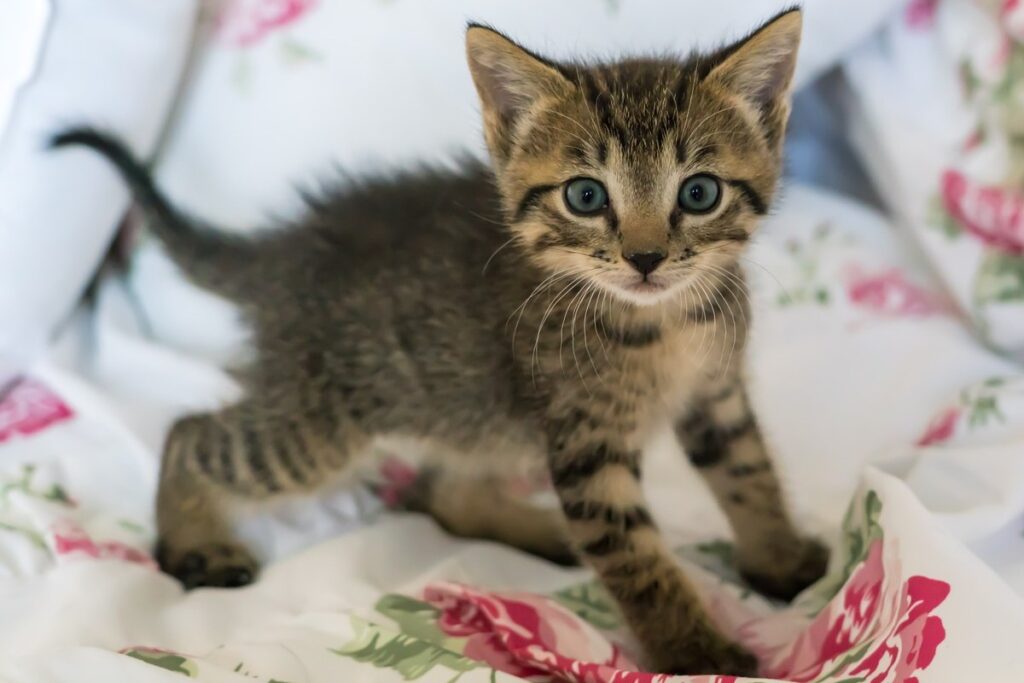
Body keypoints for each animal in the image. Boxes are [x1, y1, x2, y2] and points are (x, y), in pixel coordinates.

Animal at [54, 10, 823, 679]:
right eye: (585, 196)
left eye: (698, 193)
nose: (645, 257)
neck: (665, 322)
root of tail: (288, 250)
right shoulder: (586, 443)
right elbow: (637, 557)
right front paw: (697, 650)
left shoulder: (716, 395)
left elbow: (750, 472)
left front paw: (780, 560)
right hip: (320, 425)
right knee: (192, 433)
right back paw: (194, 544)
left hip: (466, 409)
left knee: (444, 487)